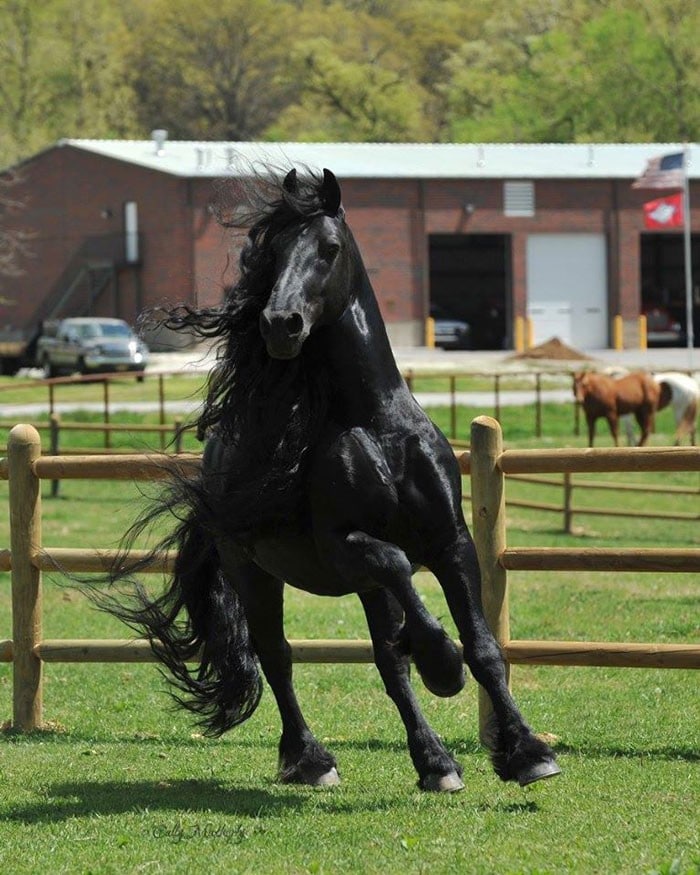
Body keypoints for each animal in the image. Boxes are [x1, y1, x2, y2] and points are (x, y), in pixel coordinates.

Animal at [108, 166, 556, 792]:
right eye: (270, 255)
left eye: (329, 248)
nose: (279, 324)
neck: (375, 424)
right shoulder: (344, 548)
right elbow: (400, 573)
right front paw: (442, 663)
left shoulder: (450, 541)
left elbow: (482, 646)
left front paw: (526, 751)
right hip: (253, 571)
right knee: (277, 656)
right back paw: (311, 759)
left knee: (387, 660)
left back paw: (435, 763)